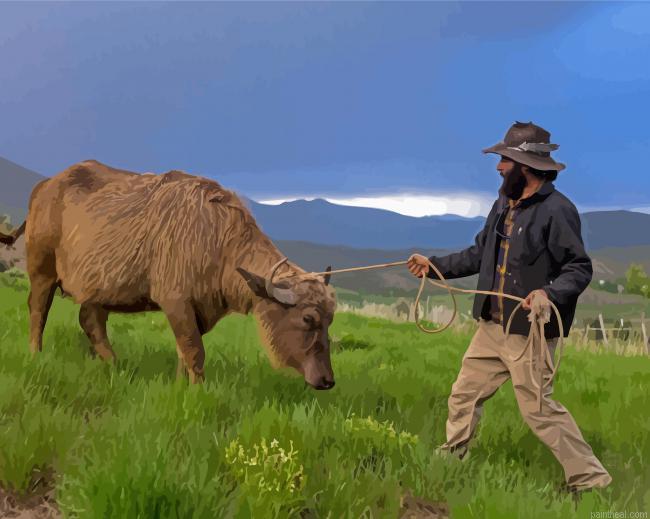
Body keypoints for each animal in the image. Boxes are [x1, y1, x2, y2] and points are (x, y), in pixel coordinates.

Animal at [0, 161, 337, 389]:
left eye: (329, 320)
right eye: (307, 318)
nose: (327, 380)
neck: (218, 239)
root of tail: (44, 187)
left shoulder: (193, 310)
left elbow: (182, 352)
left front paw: (179, 386)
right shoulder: (176, 303)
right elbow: (194, 352)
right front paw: (198, 390)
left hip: (99, 289)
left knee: (90, 320)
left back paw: (117, 366)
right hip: (42, 271)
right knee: (38, 311)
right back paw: (36, 354)